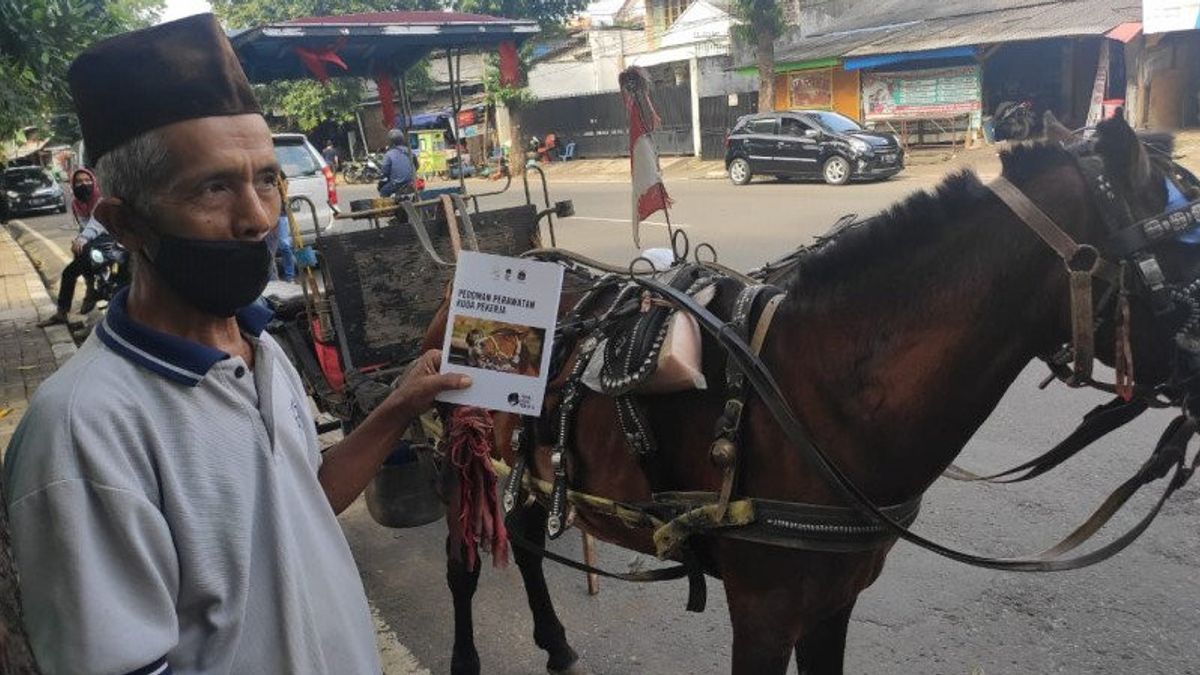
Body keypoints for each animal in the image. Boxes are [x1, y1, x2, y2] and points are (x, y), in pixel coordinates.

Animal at [424, 112, 1200, 667]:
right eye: (1187, 247)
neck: (820, 394)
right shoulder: (763, 615)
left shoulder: (835, 603)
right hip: (456, 454)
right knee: (462, 563)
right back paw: (464, 653)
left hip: (529, 468)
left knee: (526, 542)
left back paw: (555, 642)